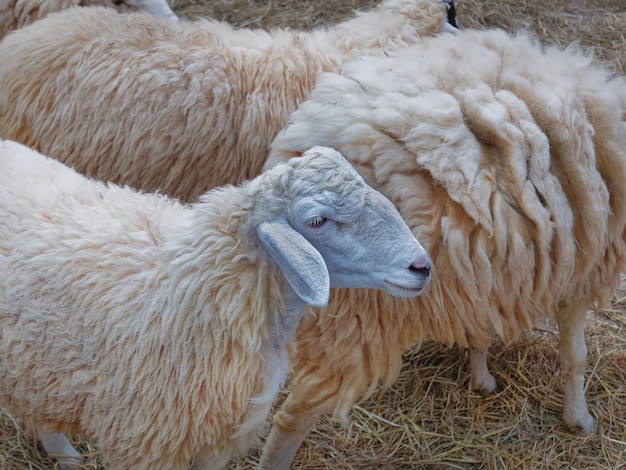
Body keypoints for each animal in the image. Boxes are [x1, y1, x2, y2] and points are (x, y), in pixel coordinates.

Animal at [258, 27, 624, 468]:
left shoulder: (481, 262)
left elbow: (481, 324)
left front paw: (481, 375)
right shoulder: (581, 269)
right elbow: (575, 354)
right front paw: (579, 420)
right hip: (358, 311)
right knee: (290, 416)